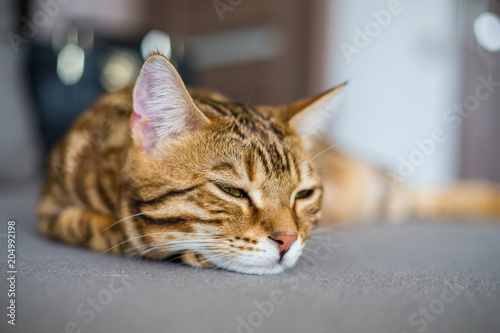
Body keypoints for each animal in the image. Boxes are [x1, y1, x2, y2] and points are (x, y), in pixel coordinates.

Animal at [36, 53, 500, 274]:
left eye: (304, 194)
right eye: (232, 191)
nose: (287, 241)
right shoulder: (52, 212)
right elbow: (111, 230)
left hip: (376, 185)